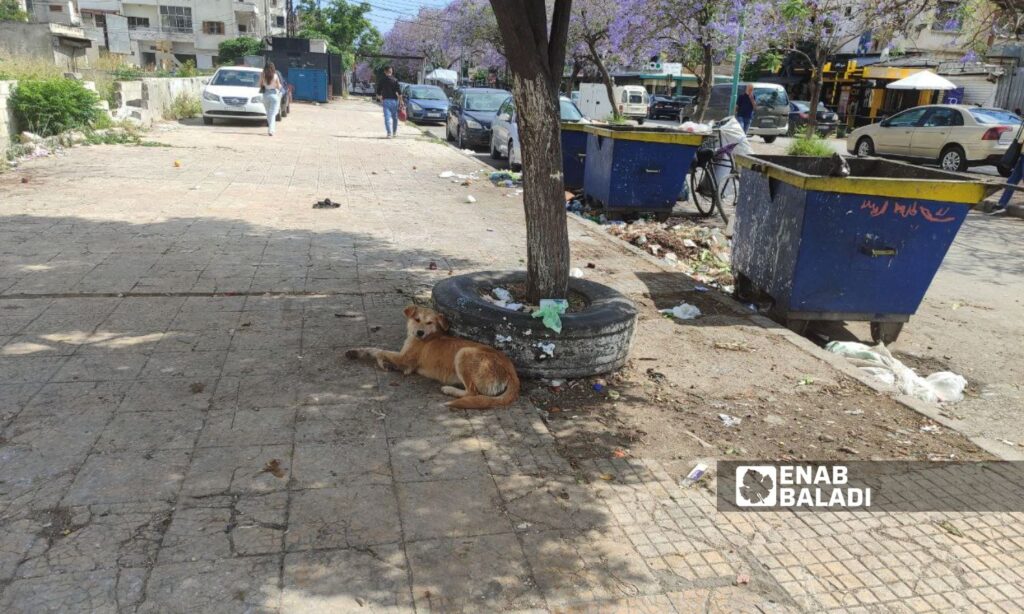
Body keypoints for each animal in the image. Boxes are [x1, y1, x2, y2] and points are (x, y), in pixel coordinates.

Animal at [346, 304, 520, 409]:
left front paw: (374, 359)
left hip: (463, 353)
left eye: (429, 322)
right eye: (417, 319)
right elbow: (377, 350)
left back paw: (449, 390)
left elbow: (378, 350)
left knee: (473, 393)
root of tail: (512, 373)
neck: (431, 334)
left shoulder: (405, 360)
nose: (419, 332)